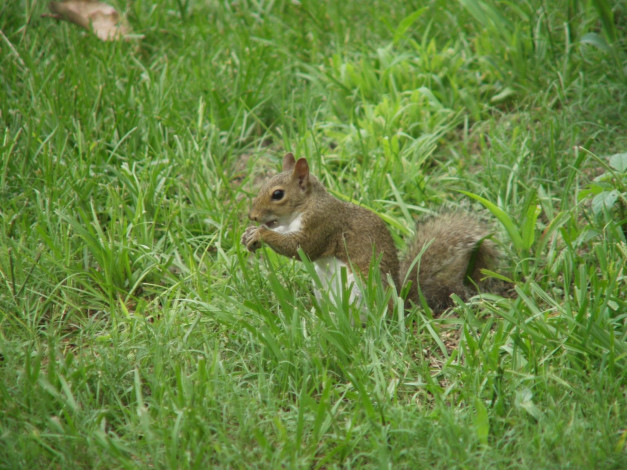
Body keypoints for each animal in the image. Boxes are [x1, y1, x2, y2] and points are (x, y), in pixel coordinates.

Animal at [243, 153, 502, 312]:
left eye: (277, 194)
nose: (252, 216)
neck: (302, 209)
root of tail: (400, 301)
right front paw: (250, 234)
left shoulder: (323, 224)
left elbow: (302, 248)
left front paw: (261, 235)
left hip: (364, 289)